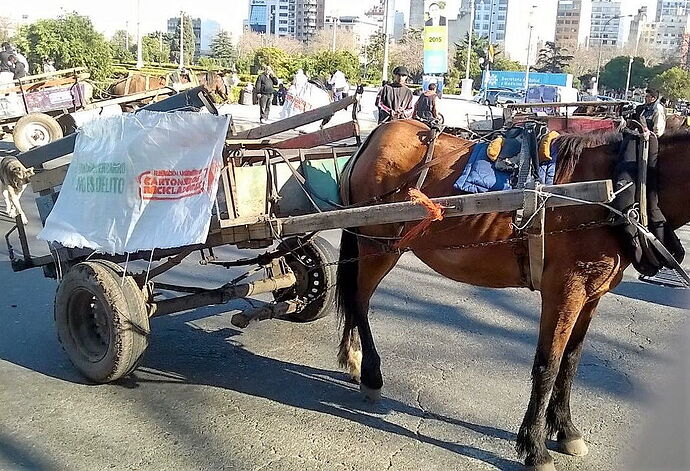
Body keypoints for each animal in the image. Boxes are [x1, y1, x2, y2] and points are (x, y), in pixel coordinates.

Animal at [334, 120, 688, 470]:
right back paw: (371, 375)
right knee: (359, 301)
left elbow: (571, 362)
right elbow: (548, 366)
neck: (623, 183)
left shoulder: (591, 294)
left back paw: (353, 359)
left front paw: (566, 429)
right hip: (378, 246)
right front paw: (535, 447)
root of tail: (373, 137)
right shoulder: (564, 290)